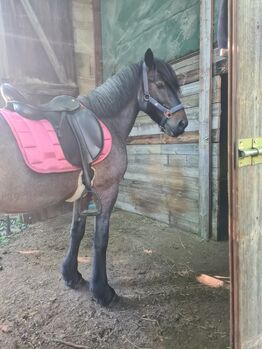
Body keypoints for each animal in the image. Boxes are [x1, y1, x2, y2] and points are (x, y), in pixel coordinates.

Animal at [0, 49, 188, 304]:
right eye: (159, 84)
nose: (182, 124)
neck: (105, 120)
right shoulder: (107, 190)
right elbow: (101, 238)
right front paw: (102, 291)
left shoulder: (82, 192)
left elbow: (76, 231)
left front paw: (71, 275)